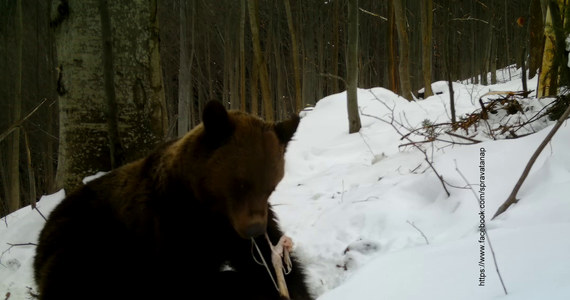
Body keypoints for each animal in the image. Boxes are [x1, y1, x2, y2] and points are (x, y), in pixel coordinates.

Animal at [33, 101, 312, 300]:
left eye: (270, 187)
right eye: (240, 184)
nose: (254, 229)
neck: (206, 205)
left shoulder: (230, 228)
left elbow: (269, 260)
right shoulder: (171, 227)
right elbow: (186, 279)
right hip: (86, 240)